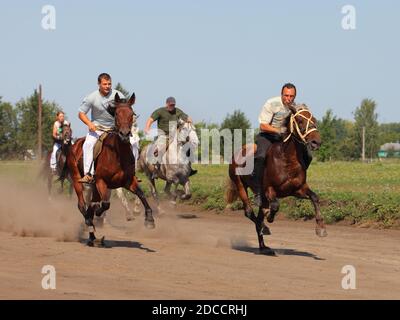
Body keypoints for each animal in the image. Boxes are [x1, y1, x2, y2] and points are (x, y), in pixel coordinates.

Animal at [63, 92, 155, 245]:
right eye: (117, 113)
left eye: (131, 114)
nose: (124, 134)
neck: (117, 154)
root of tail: (74, 145)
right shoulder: (101, 181)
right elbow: (105, 204)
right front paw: (98, 211)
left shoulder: (128, 181)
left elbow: (141, 194)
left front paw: (149, 219)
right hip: (77, 180)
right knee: (82, 205)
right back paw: (90, 225)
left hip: (93, 187)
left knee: (90, 205)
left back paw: (93, 237)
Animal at [227, 105, 326, 255]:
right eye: (299, 120)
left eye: (314, 119)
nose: (316, 142)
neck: (287, 159)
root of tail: (237, 153)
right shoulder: (269, 190)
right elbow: (275, 206)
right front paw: (269, 219)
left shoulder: (298, 189)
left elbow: (315, 197)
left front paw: (321, 227)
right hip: (240, 186)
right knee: (250, 212)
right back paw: (264, 228)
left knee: (258, 216)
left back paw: (264, 247)